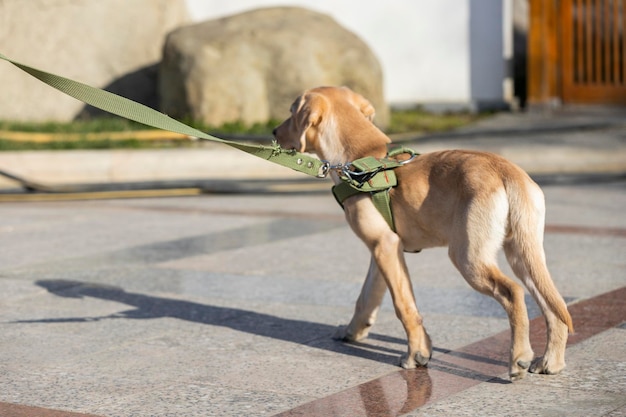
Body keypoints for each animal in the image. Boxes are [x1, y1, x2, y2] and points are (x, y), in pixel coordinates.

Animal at [270, 86, 572, 378]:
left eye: (291, 112)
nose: (273, 132)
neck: (358, 160)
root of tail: (506, 170)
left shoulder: (384, 245)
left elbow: (404, 305)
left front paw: (416, 354)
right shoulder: (382, 251)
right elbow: (367, 298)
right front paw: (353, 331)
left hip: (468, 256)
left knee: (513, 293)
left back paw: (519, 358)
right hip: (523, 253)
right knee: (553, 304)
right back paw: (551, 362)